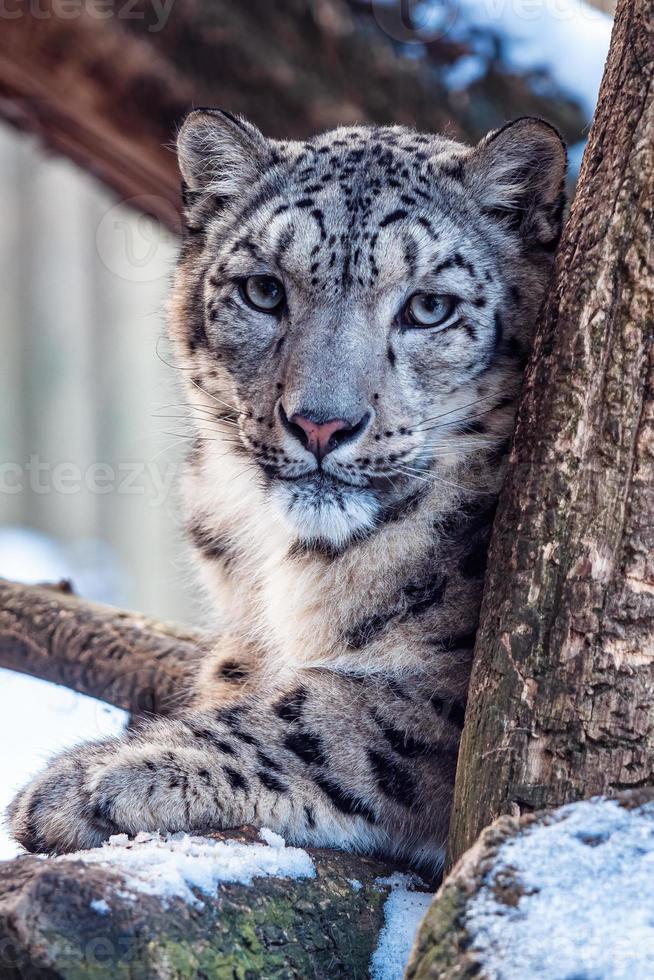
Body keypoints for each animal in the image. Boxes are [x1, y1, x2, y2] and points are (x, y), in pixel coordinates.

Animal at [7, 109, 568, 872]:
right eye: (265, 291)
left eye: (430, 307)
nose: (321, 423)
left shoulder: (447, 697)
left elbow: (322, 721)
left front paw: (97, 775)